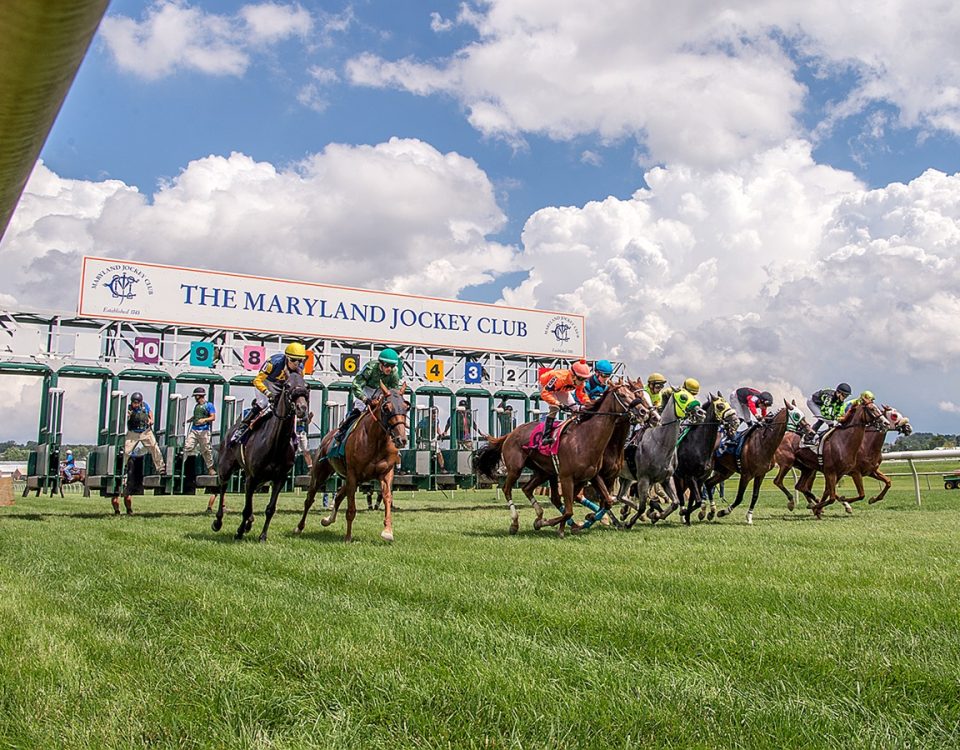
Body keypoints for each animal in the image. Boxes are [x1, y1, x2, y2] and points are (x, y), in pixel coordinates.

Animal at [210, 370, 308, 540]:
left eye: (307, 386)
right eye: (287, 385)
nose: (302, 408)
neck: (275, 444)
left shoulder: (279, 479)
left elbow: (270, 508)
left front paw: (262, 535)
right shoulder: (252, 476)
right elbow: (247, 508)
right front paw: (239, 531)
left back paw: (249, 523)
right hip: (226, 467)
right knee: (222, 487)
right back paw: (218, 521)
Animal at [296, 384, 408, 544]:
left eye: (406, 406)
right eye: (386, 408)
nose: (401, 439)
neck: (376, 440)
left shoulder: (385, 473)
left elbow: (387, 497)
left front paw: (388, 531)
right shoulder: (353, 474)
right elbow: (351, 510)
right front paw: (348, 537)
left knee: (338, 495)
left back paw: (327, 520)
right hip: (321, 473)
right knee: (309, 499)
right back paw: (299, 527)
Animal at [470, 384, 644, 536]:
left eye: (633, 394)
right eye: (622, 395)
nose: (642, 411)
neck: (585, 439)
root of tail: (510, 434)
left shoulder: (593, 476)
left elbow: (607, 501)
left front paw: (583, 521)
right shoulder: (566, 477)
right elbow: (569, 510)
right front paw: (558, 525)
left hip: (544, 472)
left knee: (528, 489)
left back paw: (540, 514)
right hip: (515, 469)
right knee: (508, 489)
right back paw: (515, 523)